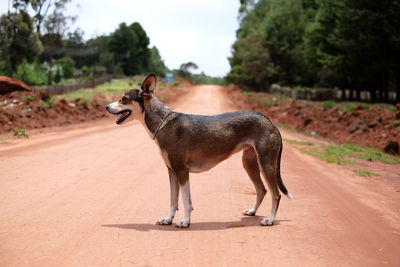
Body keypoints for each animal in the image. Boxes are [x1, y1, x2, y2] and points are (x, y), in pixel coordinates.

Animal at [105, 74, 290, 228]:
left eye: (124, 99)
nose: (106, 107)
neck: (162, 123)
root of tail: (271, 122)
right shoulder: (171, 171)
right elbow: (173, 200)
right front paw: (168, 219)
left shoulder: (181, 170)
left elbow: (186, 201)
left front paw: (185, 222)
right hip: (249, 163)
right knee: (262, 190)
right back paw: (252, 212)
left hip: (266, 164)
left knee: (276, 194)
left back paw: (270, 219)